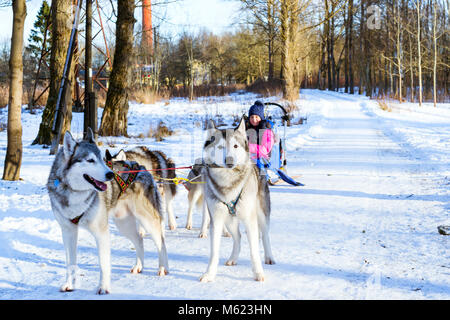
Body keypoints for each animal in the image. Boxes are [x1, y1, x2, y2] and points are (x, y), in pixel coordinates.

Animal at [47, 129, 169, 294]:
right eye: (90, 160)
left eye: (101, 159)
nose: (110, 174)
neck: (74, 192)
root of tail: (139, 166)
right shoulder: (68, 231)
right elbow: (70, 262)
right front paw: (69, 284)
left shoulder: (101, 233)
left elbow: (103, 264)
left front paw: (103, 287)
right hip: (124, 224)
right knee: (139, 240)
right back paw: (138, 266)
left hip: (147, 220)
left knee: (160, 241)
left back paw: (163, 268)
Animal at [200, 118, 274, 282]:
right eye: (220, 147)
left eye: (235, 145)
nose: (229, 160)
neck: (228, 183)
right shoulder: (217, 219)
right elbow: (214, 252)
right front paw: (209, 274)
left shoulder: (250, 219)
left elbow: (254, 250)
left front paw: (258, 273)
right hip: (229, 220)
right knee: (238, 237)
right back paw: (233, 258)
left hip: (261, 214)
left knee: (265, 235)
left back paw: (269, 257)